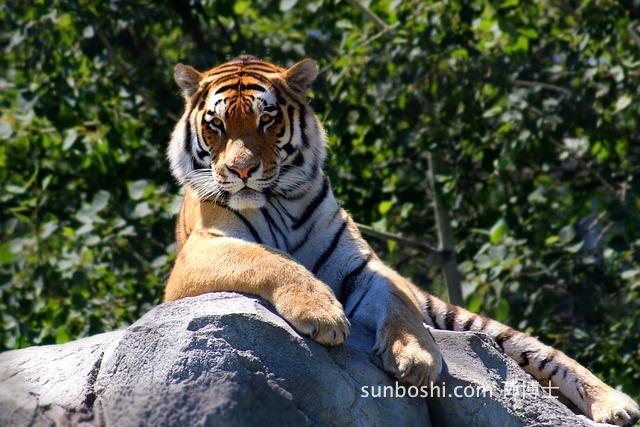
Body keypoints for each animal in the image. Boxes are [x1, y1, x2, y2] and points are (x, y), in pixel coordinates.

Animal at [164, 55, 640, 426]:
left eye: (267, 119)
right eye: (217, 125)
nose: (241, 170)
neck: (279, 200)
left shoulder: (364, 267)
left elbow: (399, 304)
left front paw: (416, 359)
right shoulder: (200, 253)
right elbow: (270, 260)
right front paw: (323, 315)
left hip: (467, 320)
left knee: (543, 352)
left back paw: (616, 405)